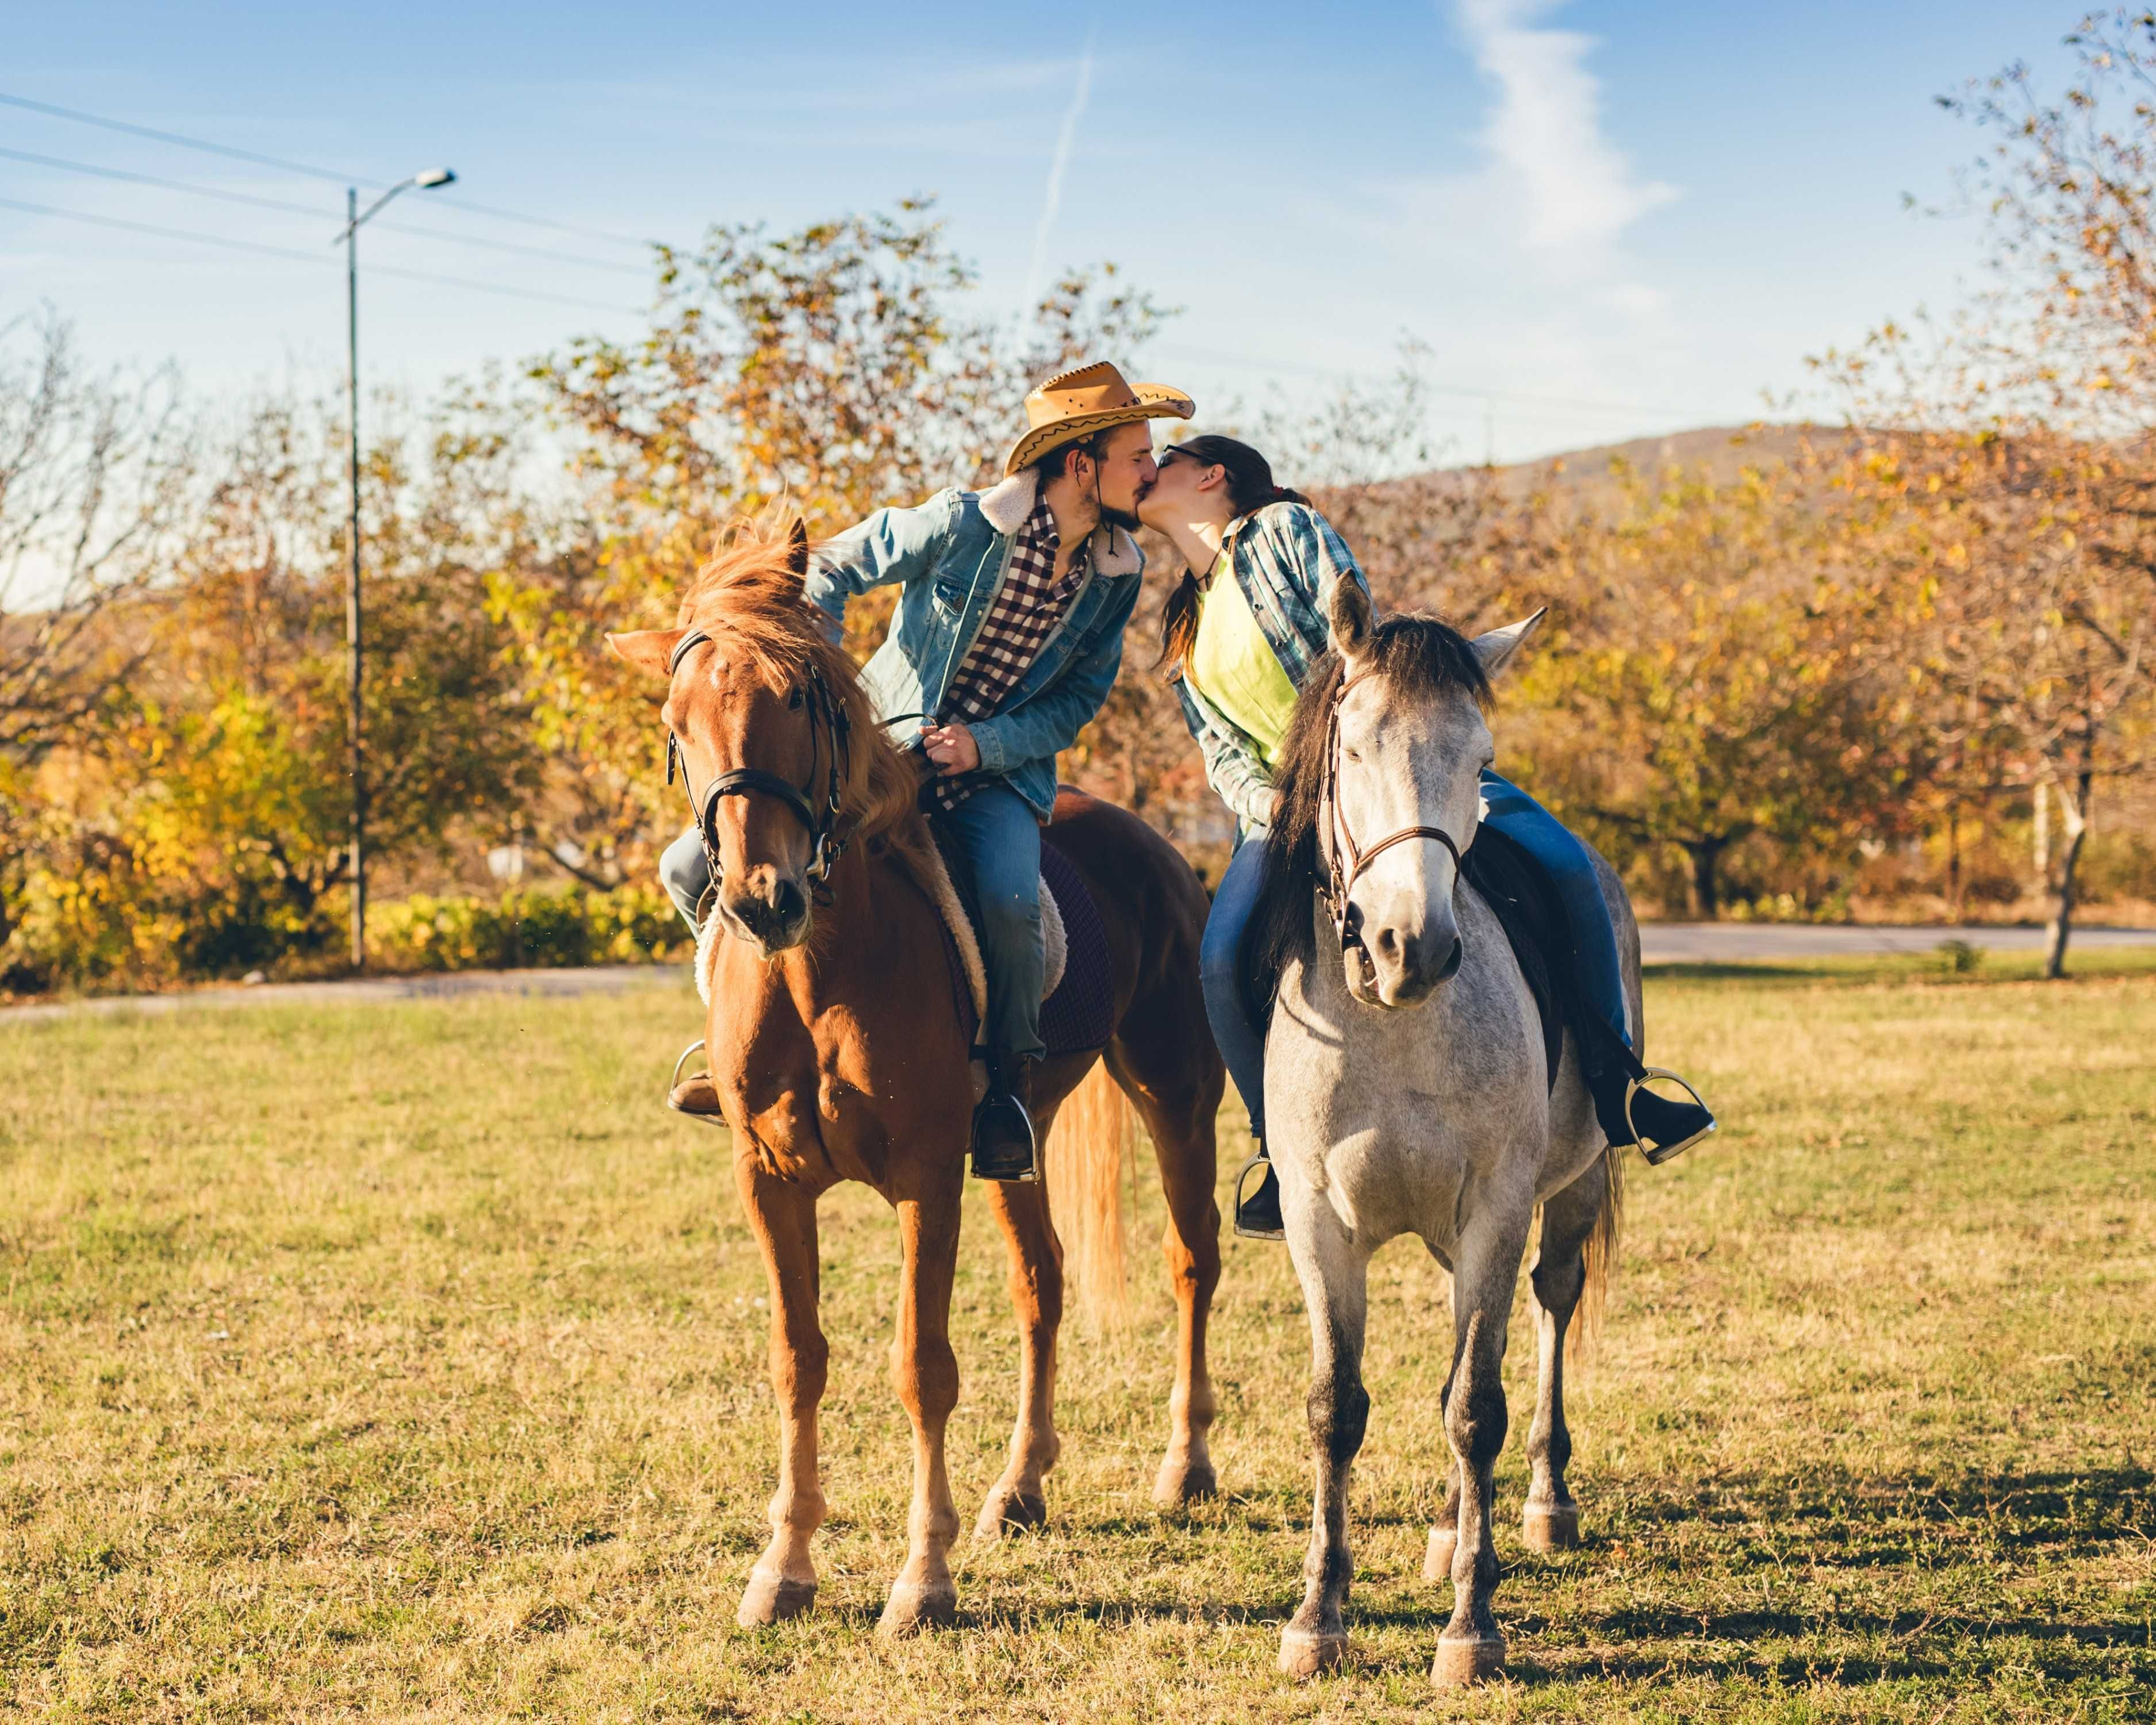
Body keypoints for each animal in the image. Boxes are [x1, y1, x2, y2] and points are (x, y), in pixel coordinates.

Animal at [608, 513, 1225, 1630]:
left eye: (798, 699)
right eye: (677, 720)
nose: (761, 900)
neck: (819, 967)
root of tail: (1145, 838)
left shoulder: (926, 1181)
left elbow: (921, 1369)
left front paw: (923, 1582)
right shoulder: (768, 1182)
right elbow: (797, 1359)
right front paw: (784, 1567)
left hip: (1177, 1095)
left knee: (1192, 1261)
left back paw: (1184, 1465)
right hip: (1022, 1140)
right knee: (1042, 1285)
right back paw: (1020, 1488)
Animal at [1250, 586, 1630, 1690]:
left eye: (1481, 758)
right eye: (1353, 750)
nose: (1409, 946)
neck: (1395, 1023)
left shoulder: (1498, 1211)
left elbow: (1477, 1410)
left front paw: (1472, 1625)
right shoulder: (1317, 1226)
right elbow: (1338, 1408)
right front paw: (1318, 1615)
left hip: (1567, 1193)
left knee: (1546, 1311)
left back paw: (1540, 1504)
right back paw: (1450, 1525)